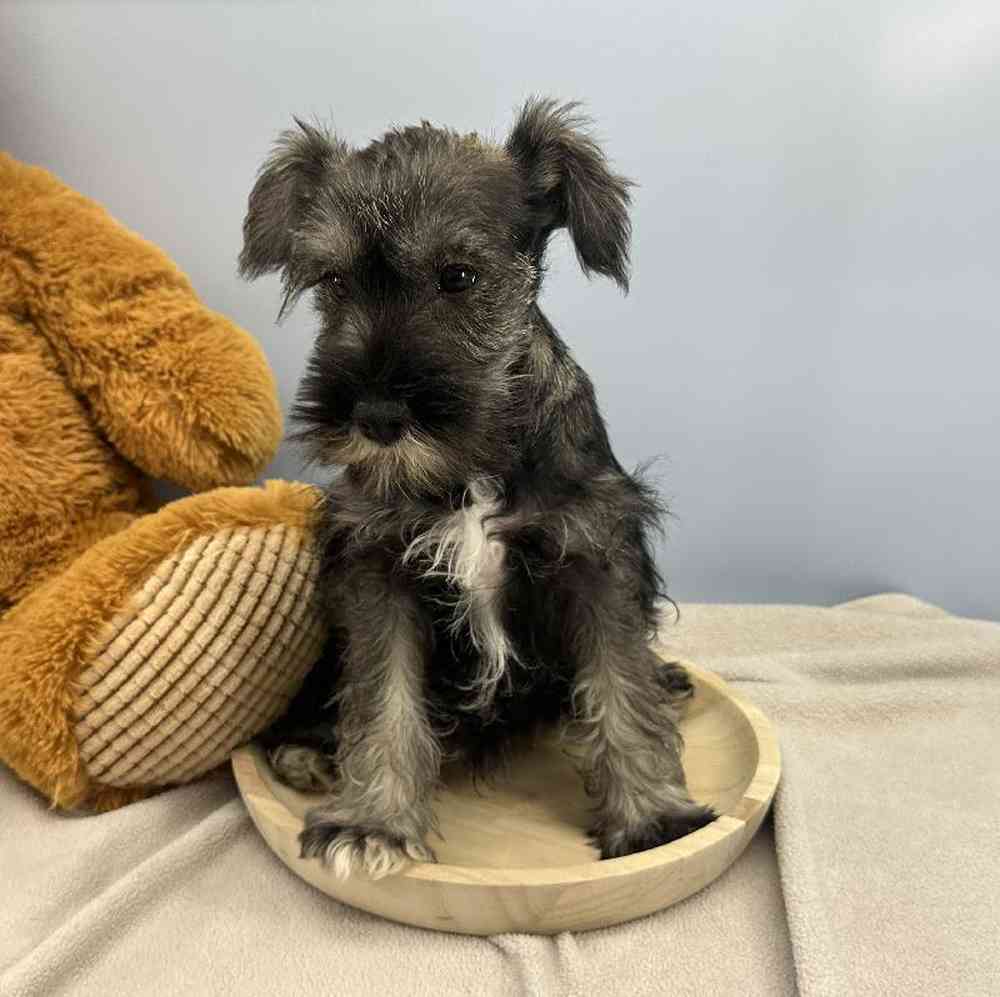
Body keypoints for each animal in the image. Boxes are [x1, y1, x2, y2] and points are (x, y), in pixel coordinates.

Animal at [239, 99, 716, 880]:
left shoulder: (594, 552)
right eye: (333, 281)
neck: (476, 466)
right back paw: (307, 752)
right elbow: (383, 698)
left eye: (459, 275)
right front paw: (372, 822)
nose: (375, 417)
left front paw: (653, 818)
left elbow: (619, 686)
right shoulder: (379, 565)